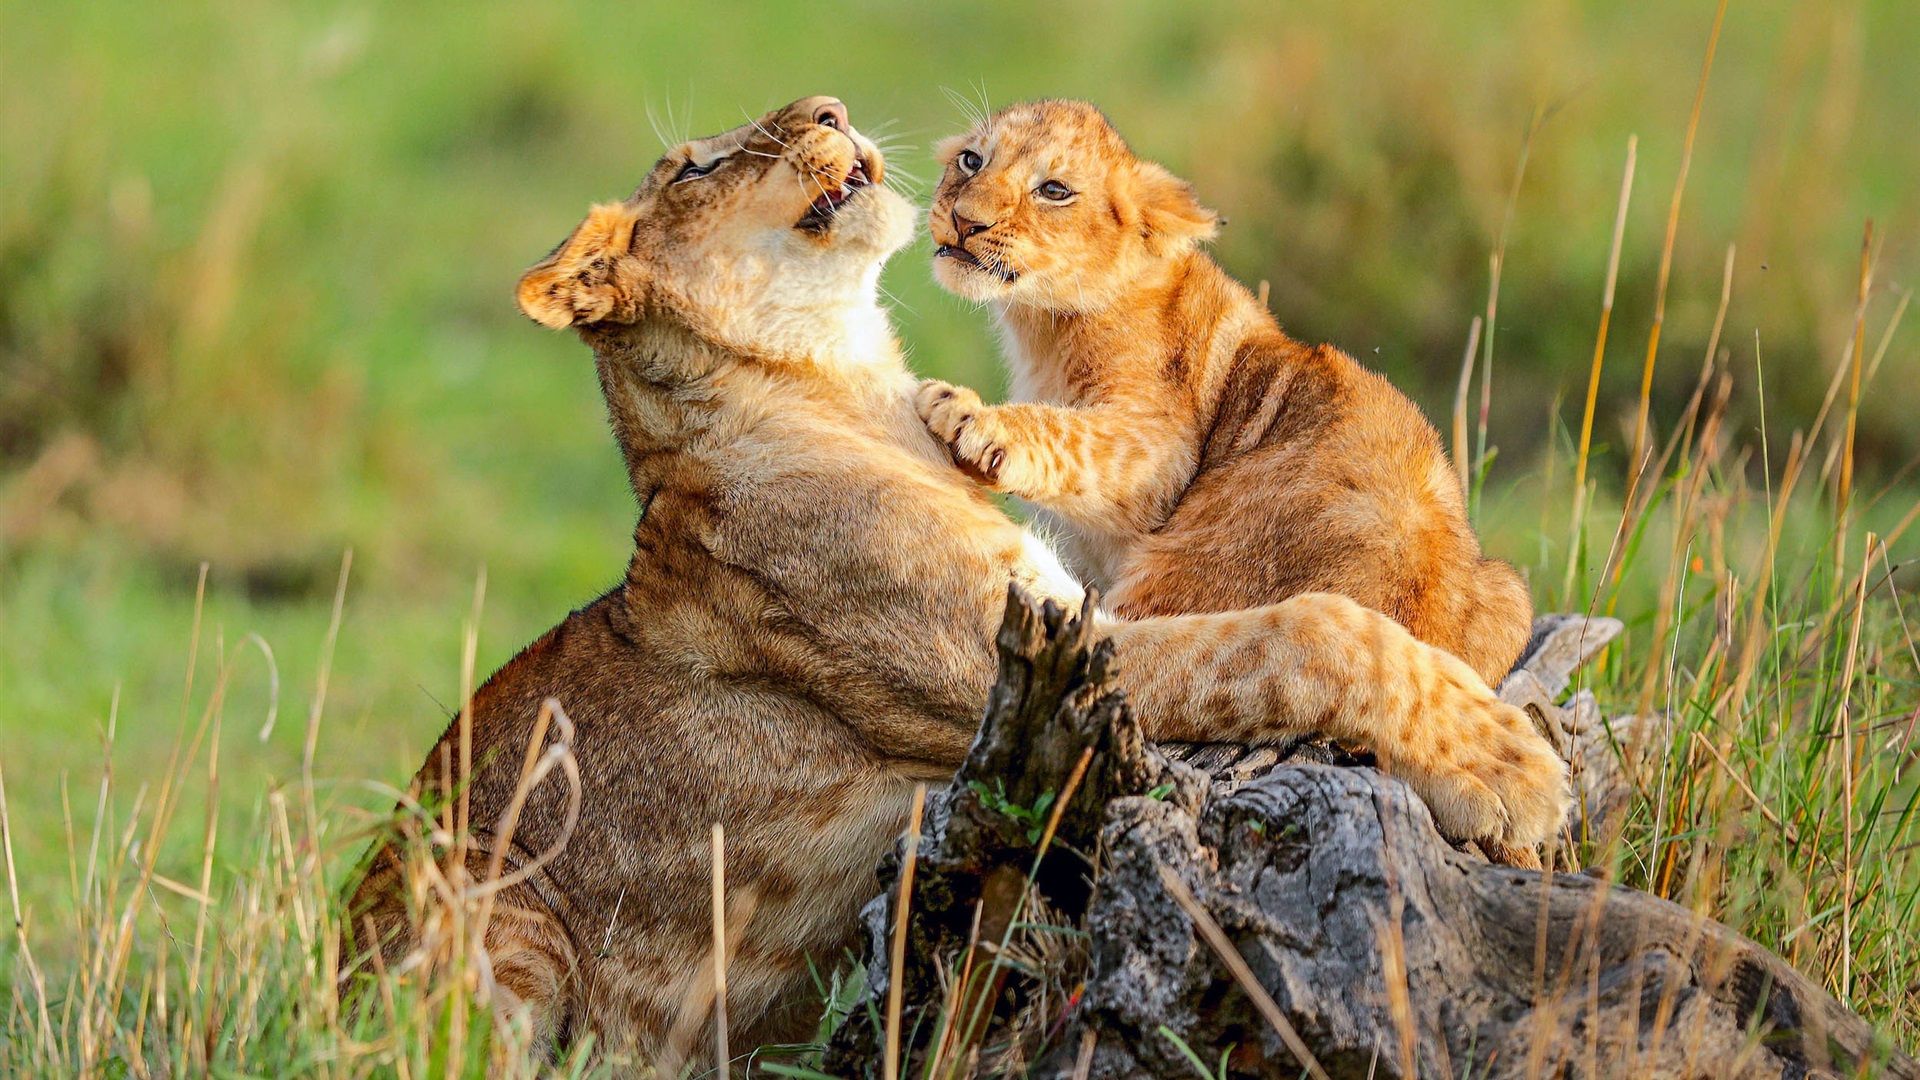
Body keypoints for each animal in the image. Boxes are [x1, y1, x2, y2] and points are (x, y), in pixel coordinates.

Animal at [917, 99, 1534, 688]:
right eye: (971, 160)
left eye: (1054, 190)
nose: (964, 221)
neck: (1038, 325)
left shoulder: (1161, 449)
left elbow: (1075, 435)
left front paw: (969, 416)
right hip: (1510, 589)